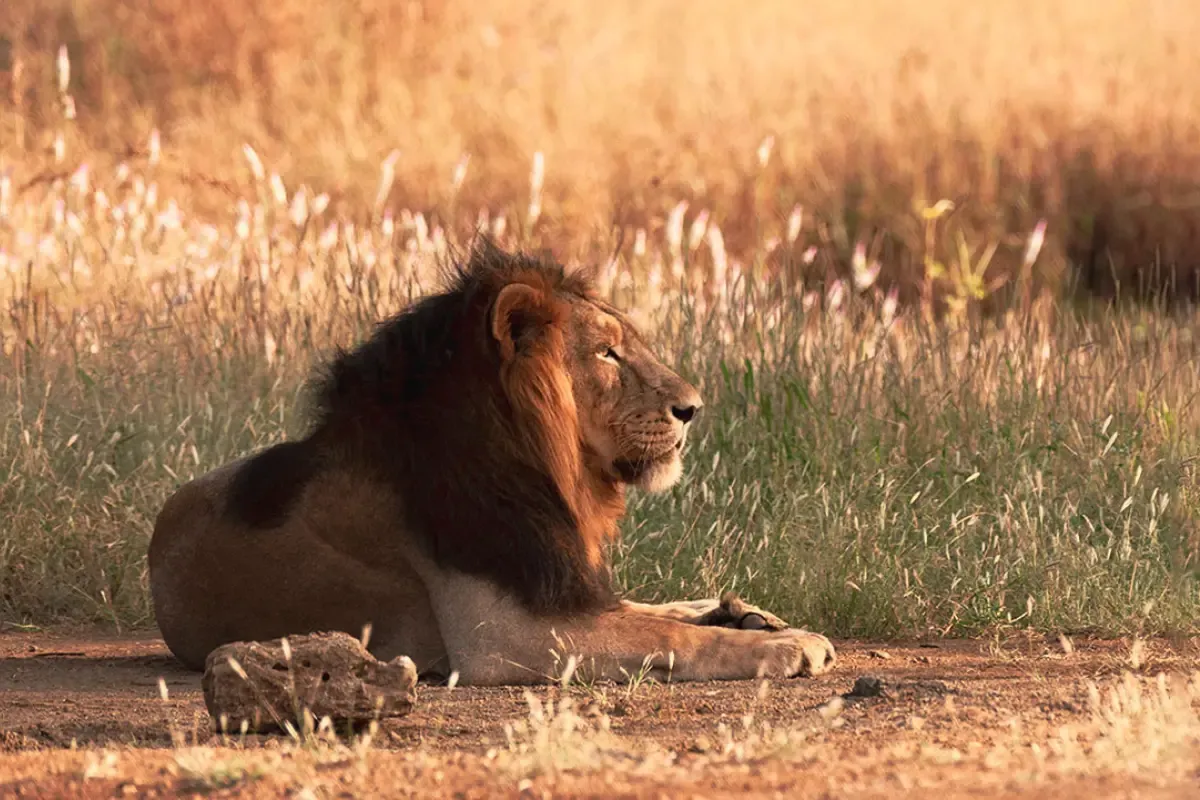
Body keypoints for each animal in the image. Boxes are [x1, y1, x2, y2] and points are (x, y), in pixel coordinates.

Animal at [147, 239, 836, 685]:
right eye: (607, 353)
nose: (693, 408)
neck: (542, 463)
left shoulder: (555, 580)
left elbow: (647, 612)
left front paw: (748, 617)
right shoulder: (503, 638)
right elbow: (669, 637)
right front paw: (789, 646)